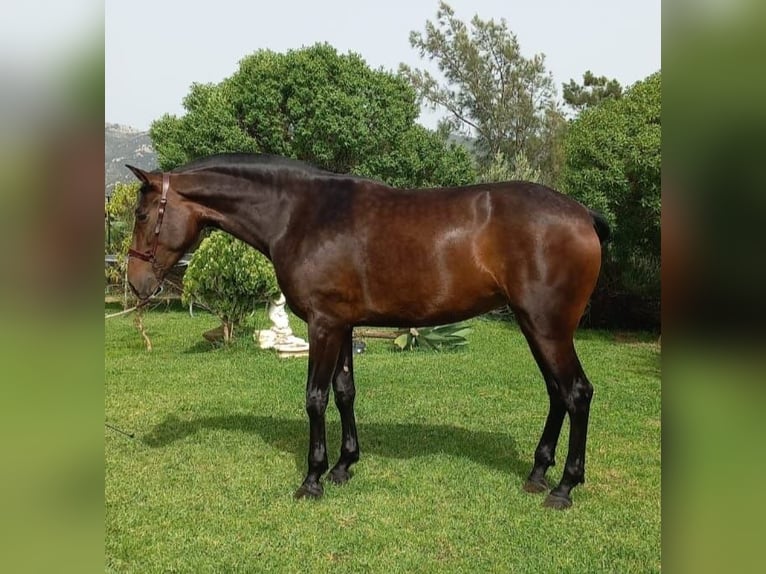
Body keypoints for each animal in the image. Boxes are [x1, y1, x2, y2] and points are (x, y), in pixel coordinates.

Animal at [129, 155, 616, 510]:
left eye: (142, 213)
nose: (136, 283)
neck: (301, 214)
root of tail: (583, 215)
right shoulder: (342, 325)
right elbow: (345, 391)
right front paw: (344, 465)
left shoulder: (323, 324)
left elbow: (315, 397)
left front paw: (313, 478)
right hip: (536, 327)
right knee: (557, 393)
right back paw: (537, 474)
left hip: (548, 328)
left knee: (577, 393)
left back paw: (564, 487)